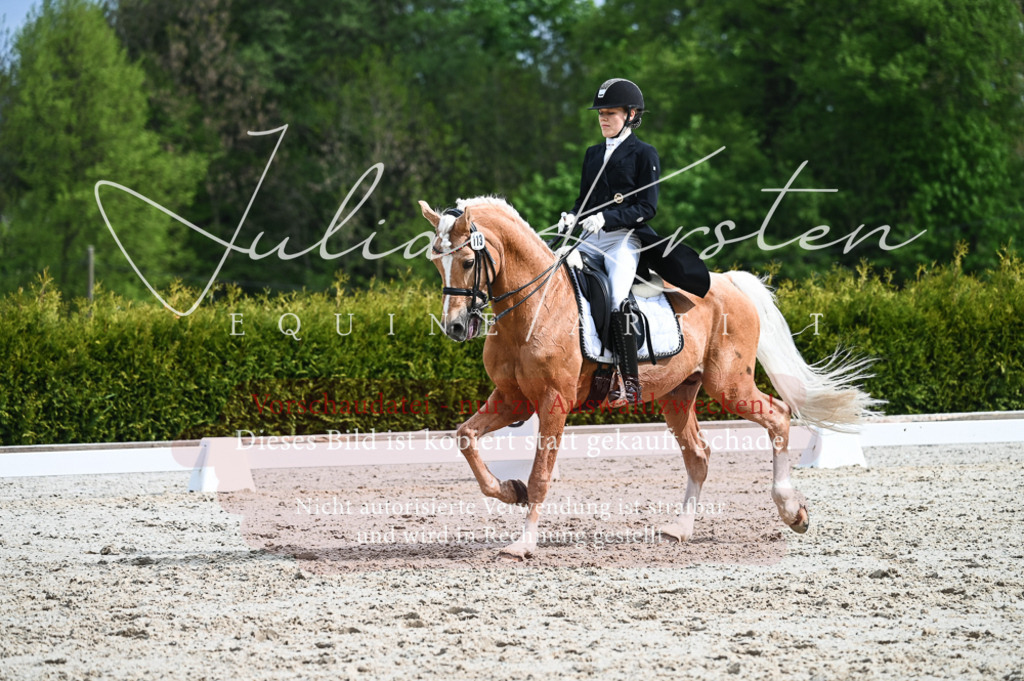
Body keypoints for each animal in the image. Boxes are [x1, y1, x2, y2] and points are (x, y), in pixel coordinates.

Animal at [419, 196, 879, 559]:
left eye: (466, 261)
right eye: (436, 264)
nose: (455, 327)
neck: (536, 305)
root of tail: (730, 283)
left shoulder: (553, 402)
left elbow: (540, 476)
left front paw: (523, 544)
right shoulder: (512, 398)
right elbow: (466, 437)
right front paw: (509, 491)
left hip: (730, 385)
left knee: (778, 415)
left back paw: (792, 511)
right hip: (678, 395)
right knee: (699, 455)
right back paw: (681, 529)